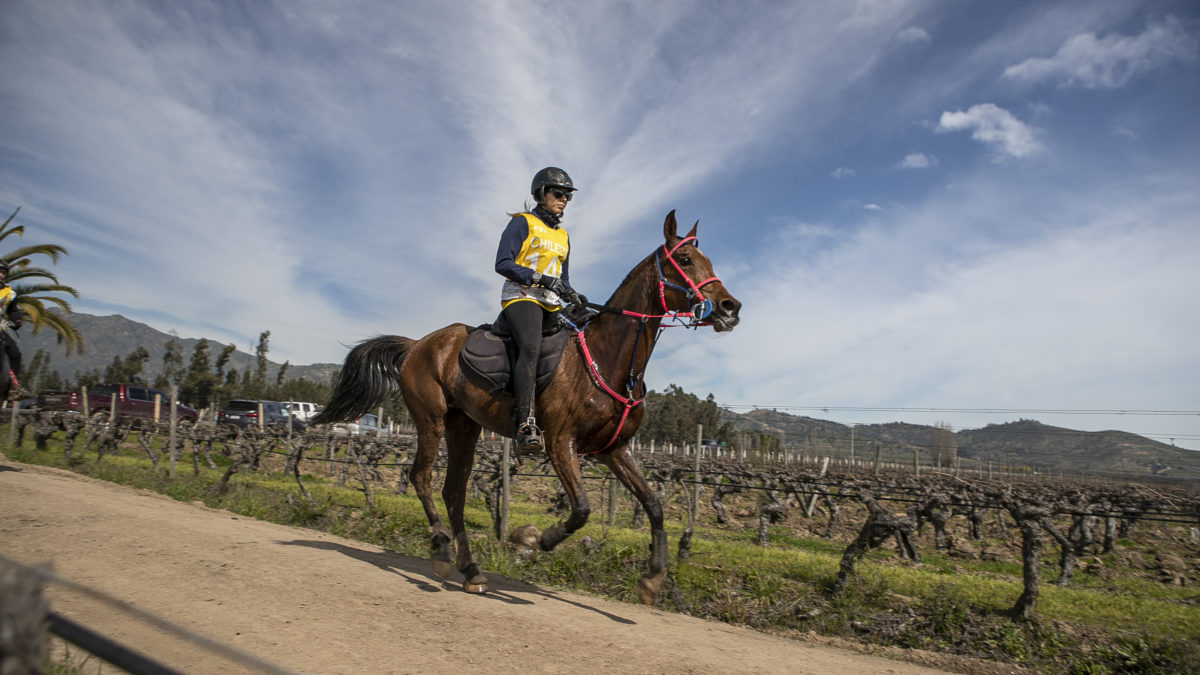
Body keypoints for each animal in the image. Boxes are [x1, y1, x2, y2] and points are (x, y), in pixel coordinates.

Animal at [314, 208, 734, 598]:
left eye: (709, 260)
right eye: (685, 260)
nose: (731, 307)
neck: (609, 359)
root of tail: (417, 344)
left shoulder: (612, 449)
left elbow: (654, 505)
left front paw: (653, 577)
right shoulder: (560, 443)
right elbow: (581, 510)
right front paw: (532, 539)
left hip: (463, 427)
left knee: (454, 492)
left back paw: (471, 570)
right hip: (429, 420)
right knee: (421, 477)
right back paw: (440, 551)